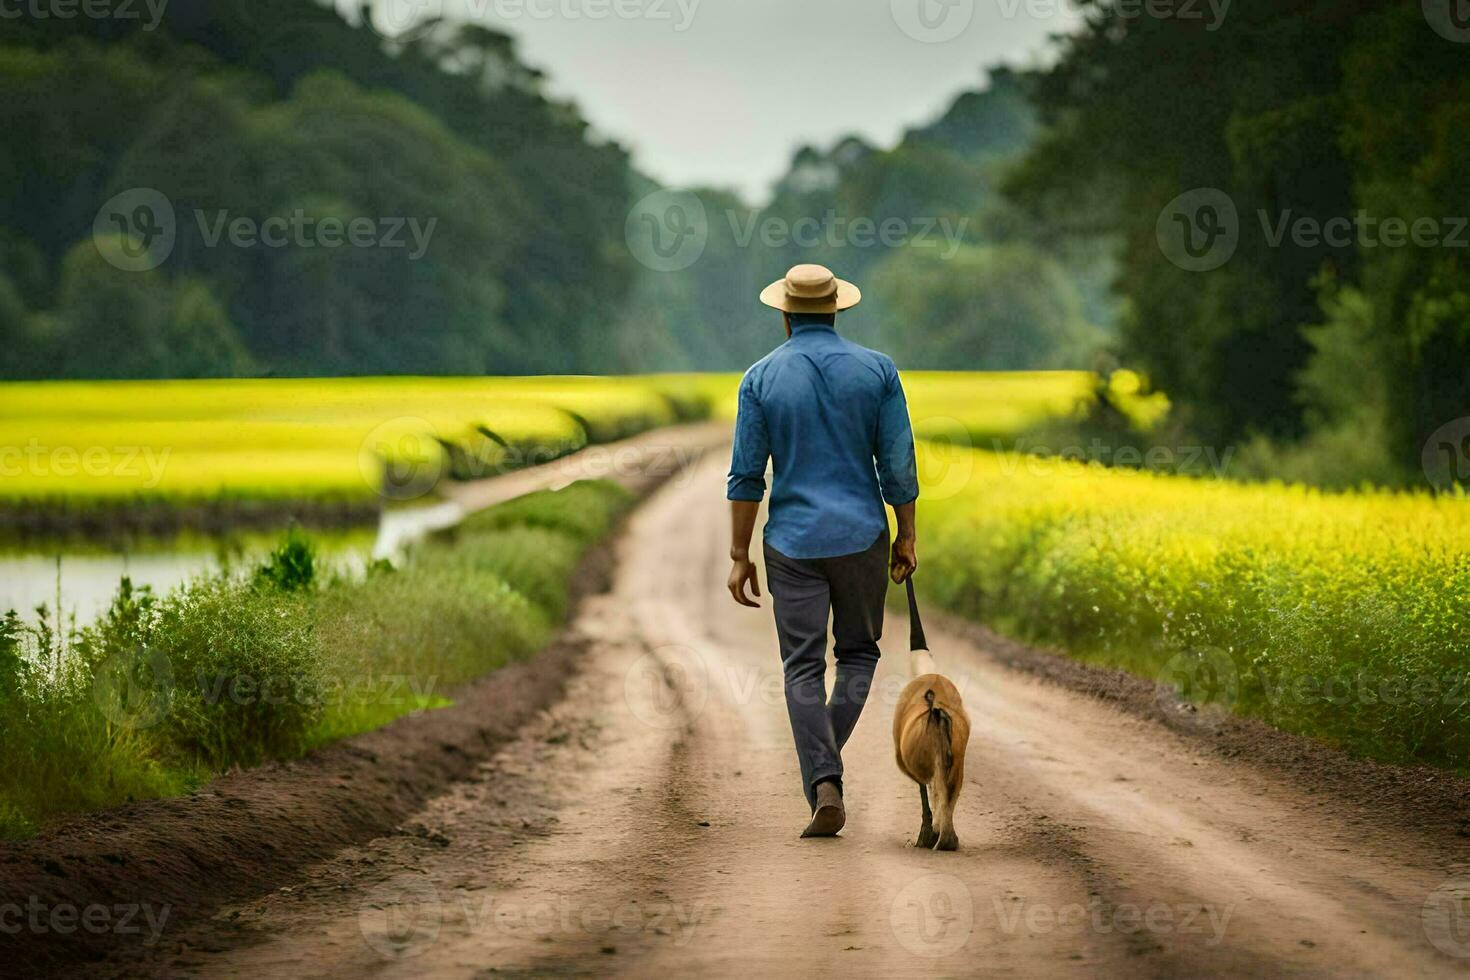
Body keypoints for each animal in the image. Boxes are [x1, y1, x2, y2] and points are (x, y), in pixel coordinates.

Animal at [887, 578, 970, 846]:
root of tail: (935, 709)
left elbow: (925, 793)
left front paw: (925, 834)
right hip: (956, 757)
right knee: (948, 793)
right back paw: (947, 839)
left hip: (928, 758)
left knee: (936, 791)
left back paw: (938, 837)